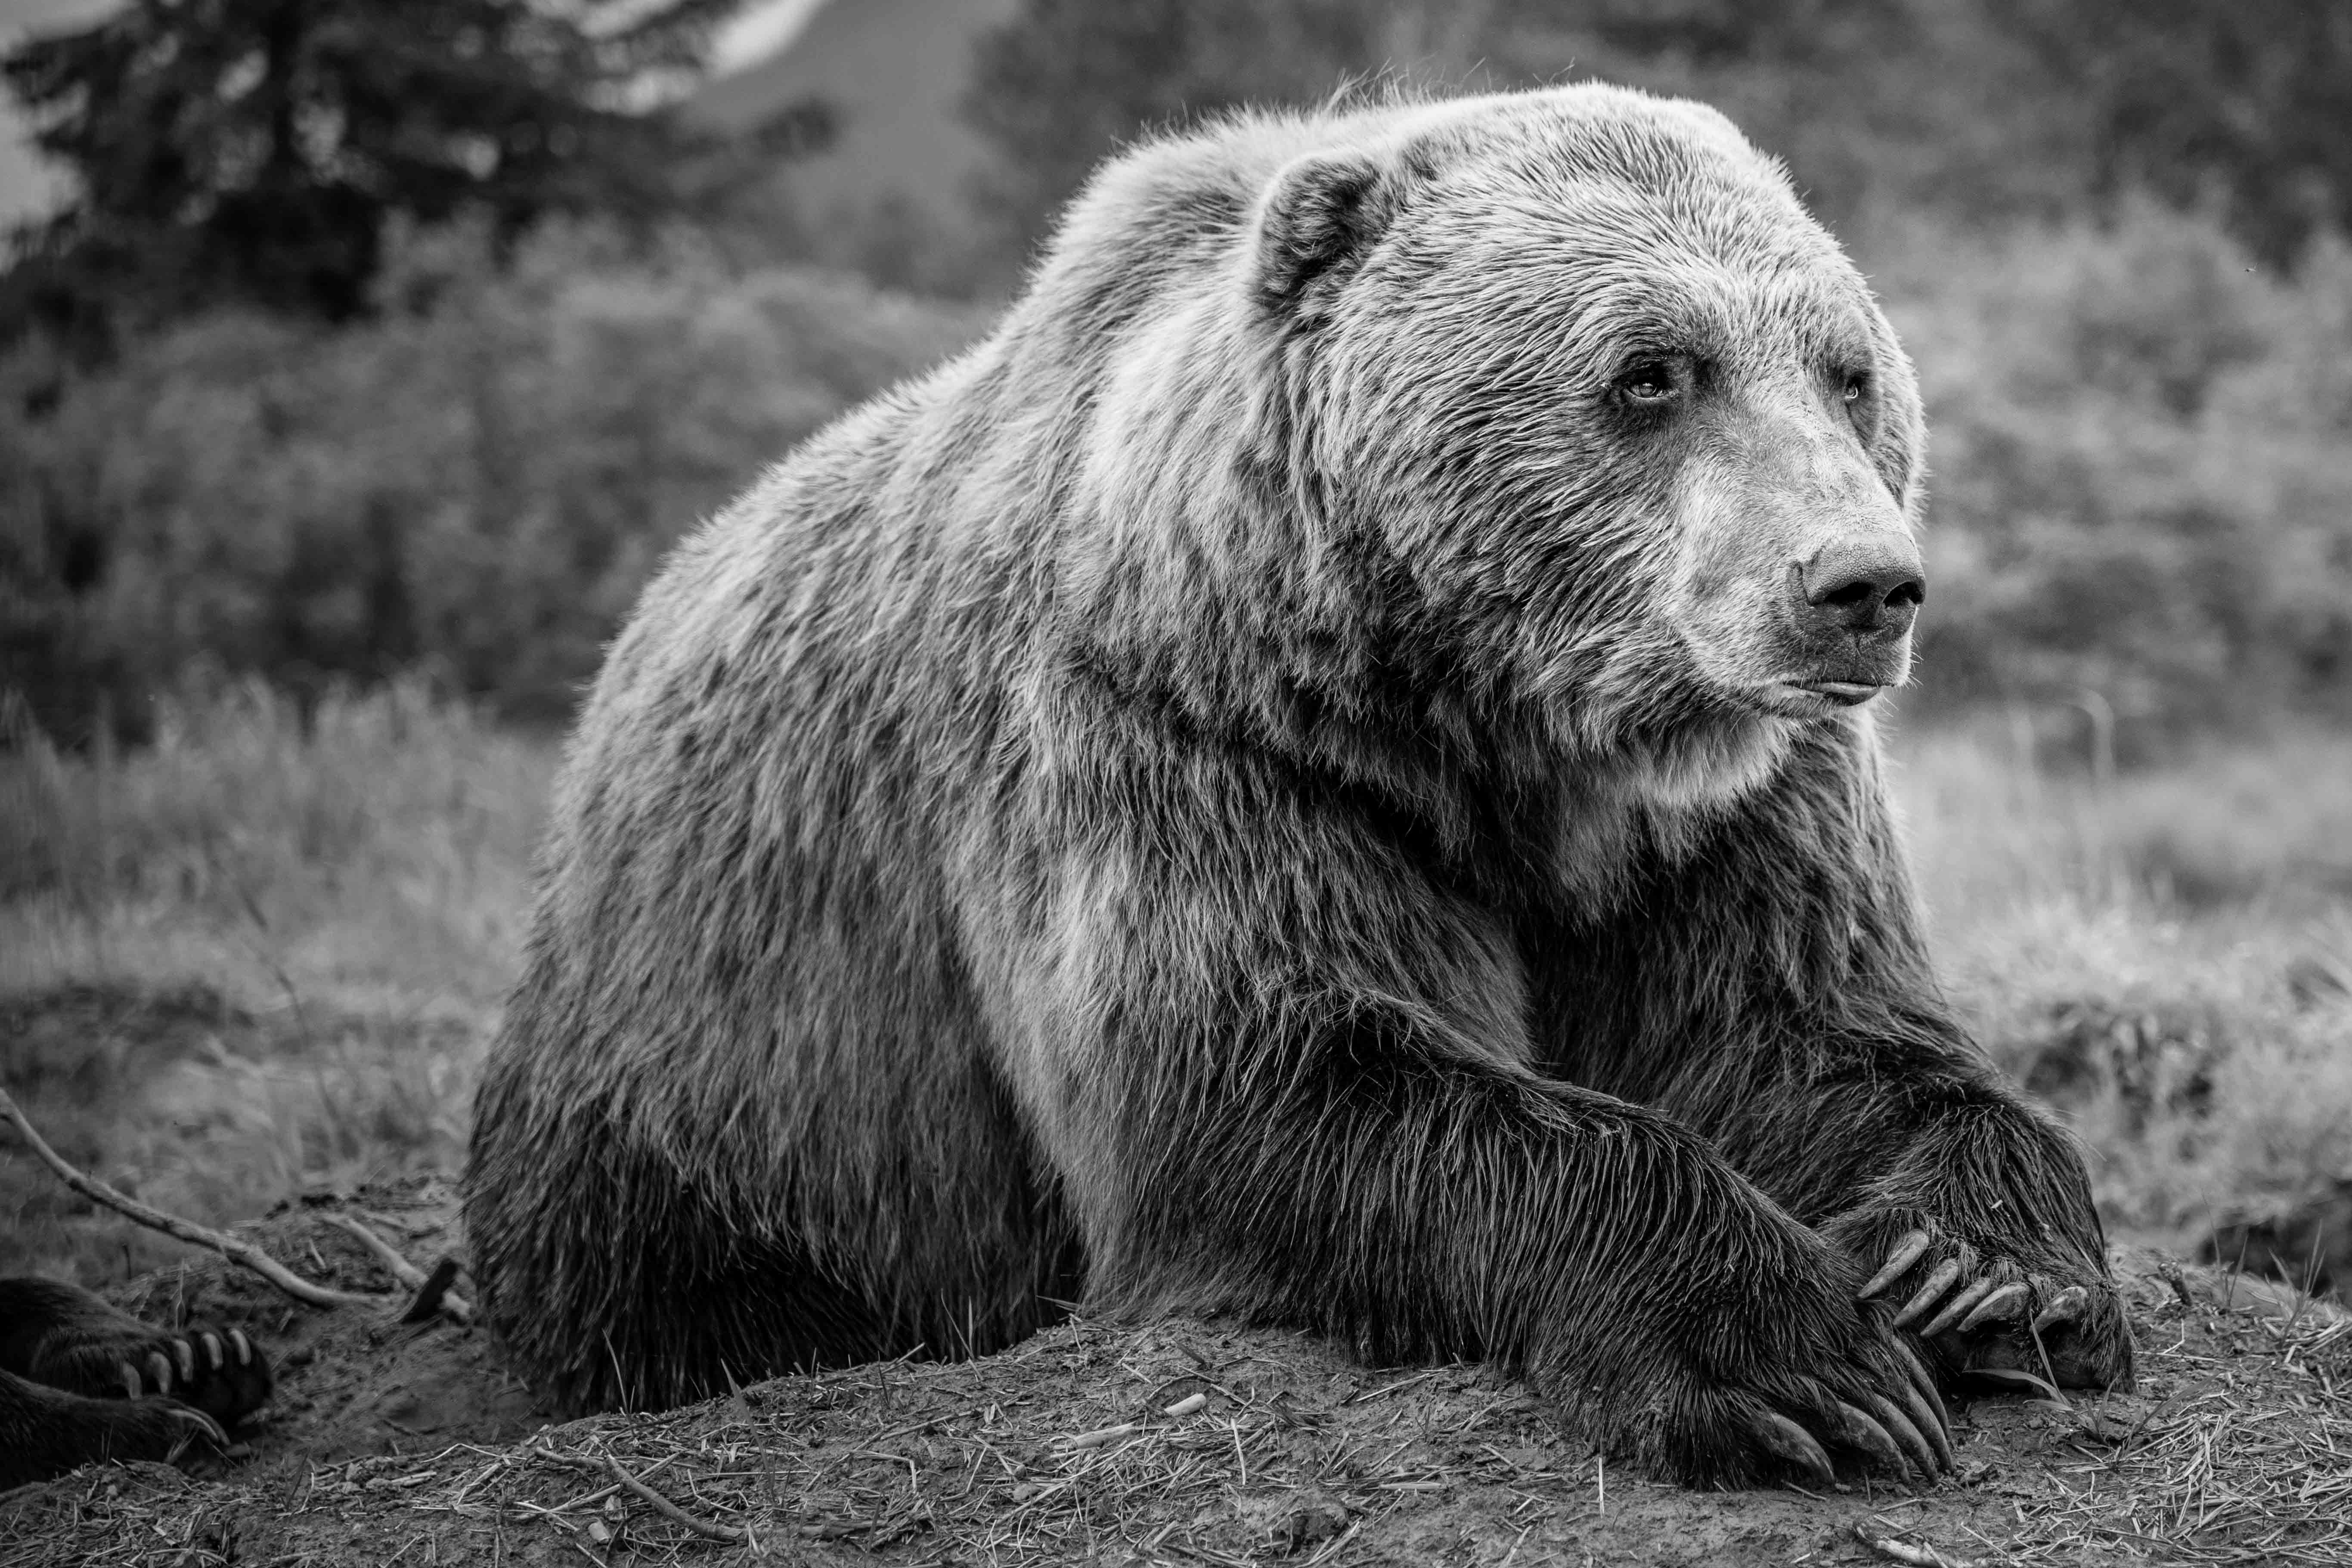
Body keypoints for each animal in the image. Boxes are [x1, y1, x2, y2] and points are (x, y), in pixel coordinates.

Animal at [465, 82, 2133, 1488]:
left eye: (1847, 370)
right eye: (1652, 372)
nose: (1861, 585)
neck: (1494, 734)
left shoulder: (1732, 807)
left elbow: (1820, 1027)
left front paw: (1986, 1273)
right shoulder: (1182, 740)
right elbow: (1266, 1081)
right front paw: (1802, 1367)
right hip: (723, 1076)